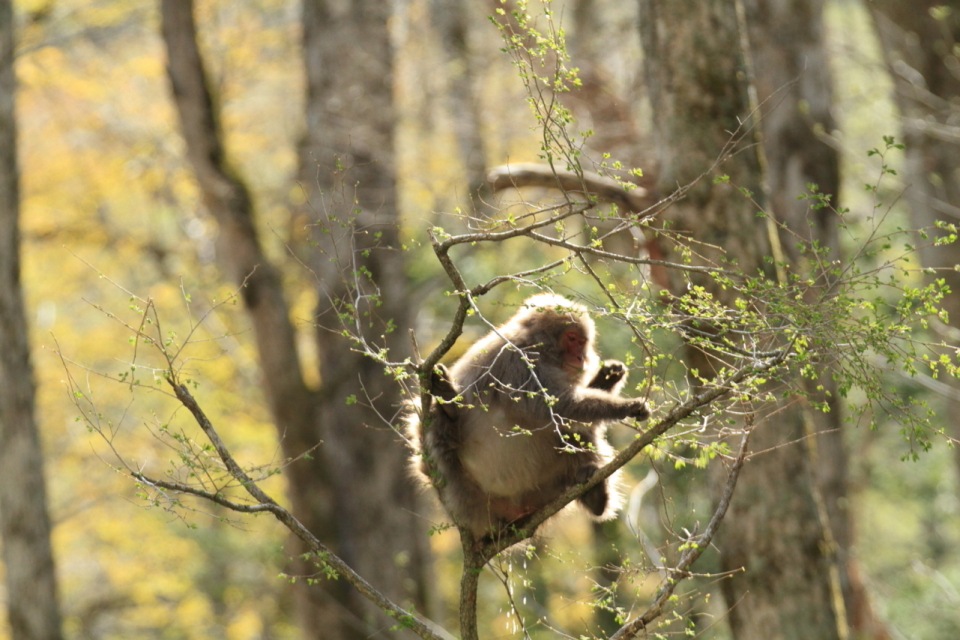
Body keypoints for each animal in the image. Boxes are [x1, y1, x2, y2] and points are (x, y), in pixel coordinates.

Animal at [407, 293, 649, 540]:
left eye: (582, 342)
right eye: (572, 338)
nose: (580, 357)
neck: (537, 347)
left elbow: (566, 416)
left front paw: (607, 377)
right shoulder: (522, 363)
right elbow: (560, 407)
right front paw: (627, 407)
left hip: (543, 490)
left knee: (574, 433)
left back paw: (595, 498)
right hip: (467, 495)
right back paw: (447, 404)